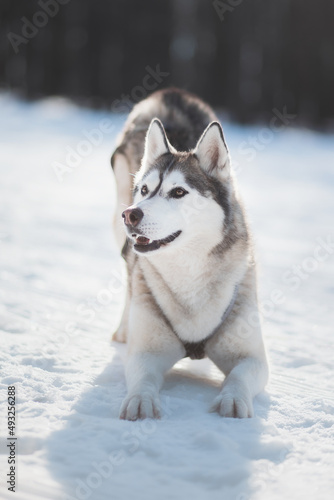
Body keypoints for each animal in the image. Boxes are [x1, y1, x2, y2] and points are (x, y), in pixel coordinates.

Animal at [111, 88, 268, 420]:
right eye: (145, 190)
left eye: (179, 192)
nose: (130, 215)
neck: (189, 274)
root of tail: (170, 94)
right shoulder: (147, 350)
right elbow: (143, 375)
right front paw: (141, 399)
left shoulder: (252, 355)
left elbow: (240, 376)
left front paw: (233, 399)